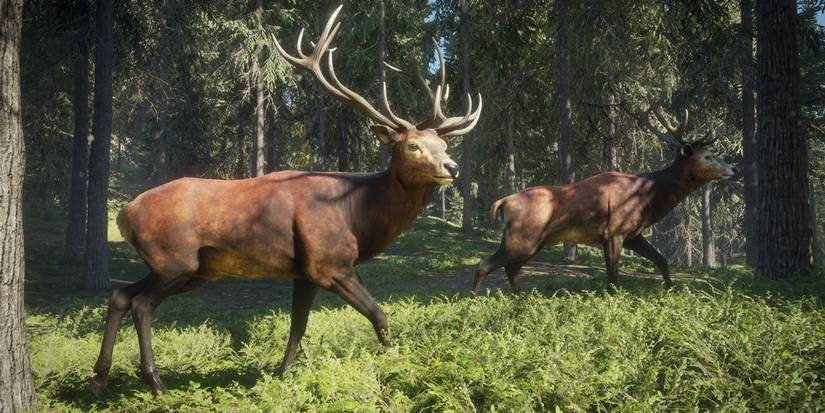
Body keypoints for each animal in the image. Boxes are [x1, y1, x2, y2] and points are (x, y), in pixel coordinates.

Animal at [88, 5, 482, 395]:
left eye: (443, 144)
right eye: (413, 145)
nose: (452, 167)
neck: (356, 214)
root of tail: (125, 212)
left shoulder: (304, 273)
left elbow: (297, 326)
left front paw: (279, 375)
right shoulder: (330, 263)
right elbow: (379, 315)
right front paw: (398, 365)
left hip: (188, 267)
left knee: (120, 295)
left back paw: (99, 377)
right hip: (175, 259)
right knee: (141, 304)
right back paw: (156, 383)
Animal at [472, 103, 735, 294]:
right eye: (708, 156)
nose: (732, 168)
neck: (649, 198)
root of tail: (503, 202)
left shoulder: (633, 234)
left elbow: (661, 259)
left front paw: (670, 289)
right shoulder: (613, 232)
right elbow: (613, 276)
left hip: (532, 243)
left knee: (510, 269)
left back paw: (519, 297)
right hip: (521, 239)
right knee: (484, 265)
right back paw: (475, 299)